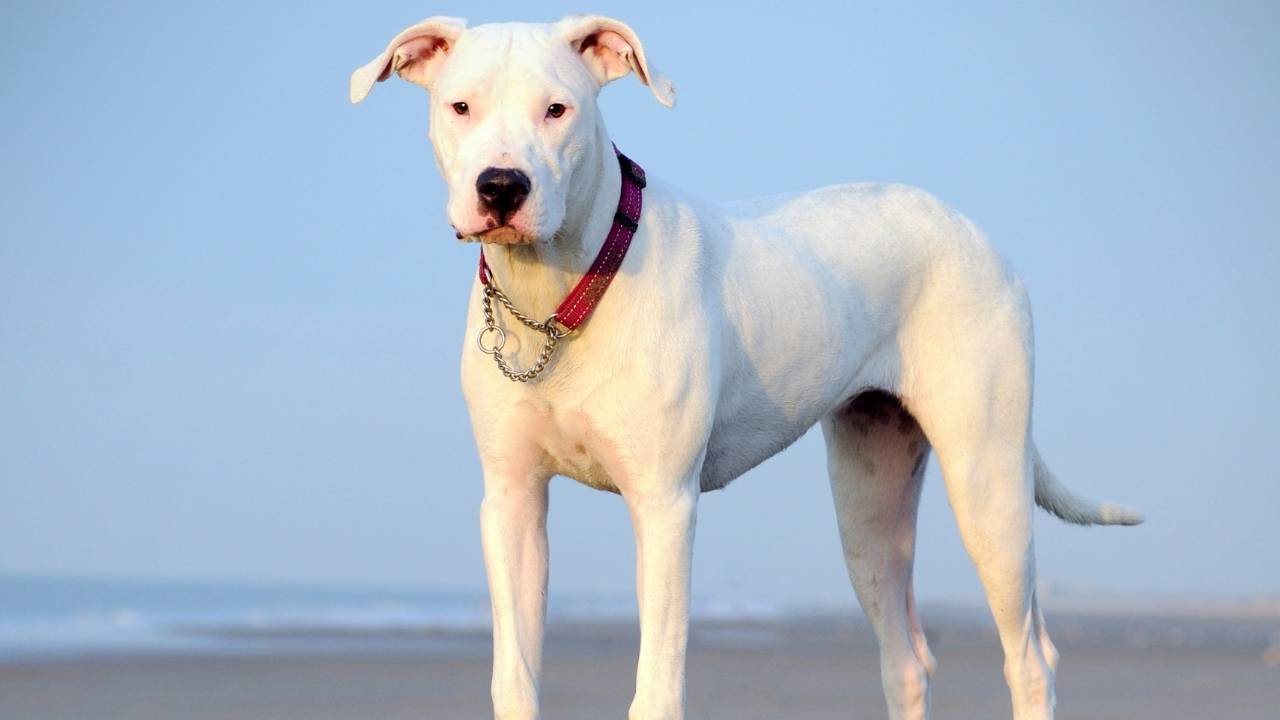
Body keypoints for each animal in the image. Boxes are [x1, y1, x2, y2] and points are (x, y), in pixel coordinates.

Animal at [353, 14, 1152, 712]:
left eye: (558, 110)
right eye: (460, 106)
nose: (500, 186)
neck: (559, 293)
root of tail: (974, 231)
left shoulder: (665, 504)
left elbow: (656, 688)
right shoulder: (512, 504)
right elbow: (514, 679)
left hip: (989, 486)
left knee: (1029, 658)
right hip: (870, 507)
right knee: (906, 659)